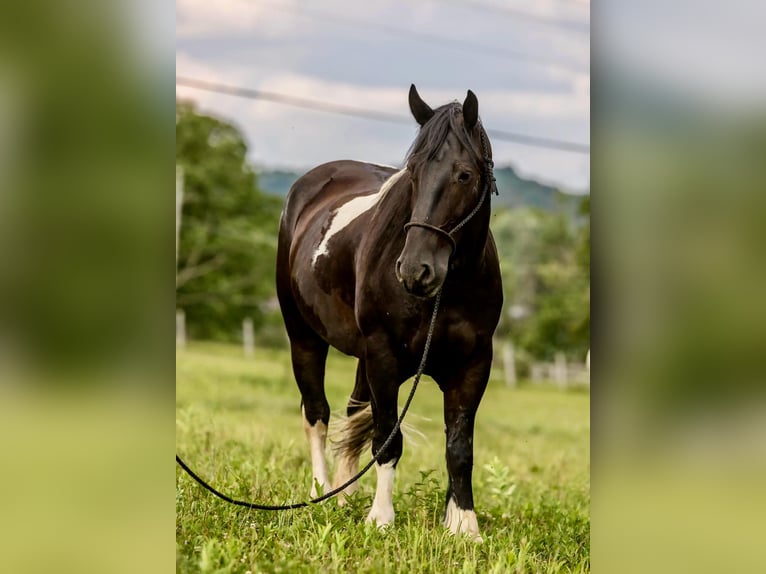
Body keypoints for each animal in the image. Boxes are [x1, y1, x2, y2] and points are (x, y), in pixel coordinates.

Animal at [276, 85, 504, 544]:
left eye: (464, 175)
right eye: (412, 173)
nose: (415, 270)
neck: (446, 291)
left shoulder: (474, 365)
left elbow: (459, 448)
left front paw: (463, 526)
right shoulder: (383, 356)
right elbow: (386, 439)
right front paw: (381, 519)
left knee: (350, 413)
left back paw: (344, 497)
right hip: (304, 337)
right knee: (317, 414)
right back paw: (322, 493)